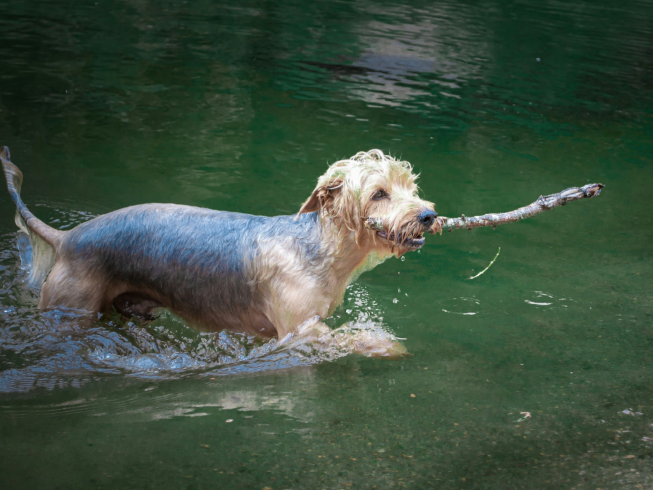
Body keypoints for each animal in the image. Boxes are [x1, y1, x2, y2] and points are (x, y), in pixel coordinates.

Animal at [2, 147, 438, 358]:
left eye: (411, 187)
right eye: (379, 193)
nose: (429, 214)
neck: (322, 250)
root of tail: (66, 237)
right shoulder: (297, 331)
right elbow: (349, 338)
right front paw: (388, 346)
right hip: (71, 308)